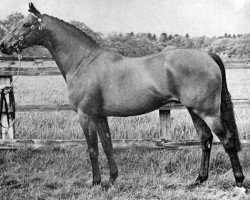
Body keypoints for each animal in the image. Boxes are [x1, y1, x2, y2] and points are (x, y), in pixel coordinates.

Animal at [0, 3, 246, 190]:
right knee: (206, 140)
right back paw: (198, 180)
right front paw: (111, 180)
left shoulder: (85, 115)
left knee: (227, 140)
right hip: (194, 110)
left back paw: (239, 181)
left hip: (208, 112)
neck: (83, 61)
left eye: (25, 24)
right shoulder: (100, 116)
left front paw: (95, 183)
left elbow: (92, 149)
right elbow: (107, 145)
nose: (4, 44)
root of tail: (208, 54)